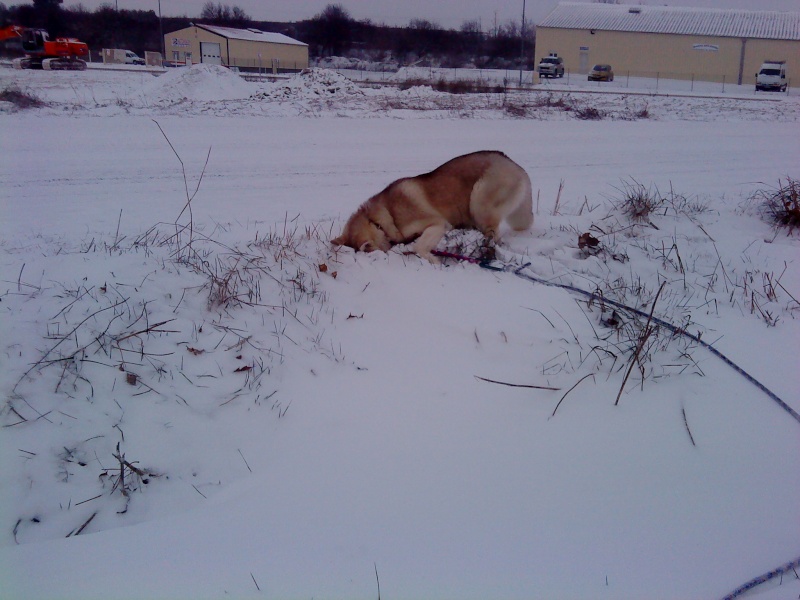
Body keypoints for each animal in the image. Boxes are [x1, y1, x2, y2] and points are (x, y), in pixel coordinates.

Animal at [330, 150, 532, 262]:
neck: (380, 218)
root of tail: (515, 165)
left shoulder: (438, 224)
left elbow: (419, 247)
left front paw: (434, 261)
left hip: (479, 201)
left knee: (493, 237)